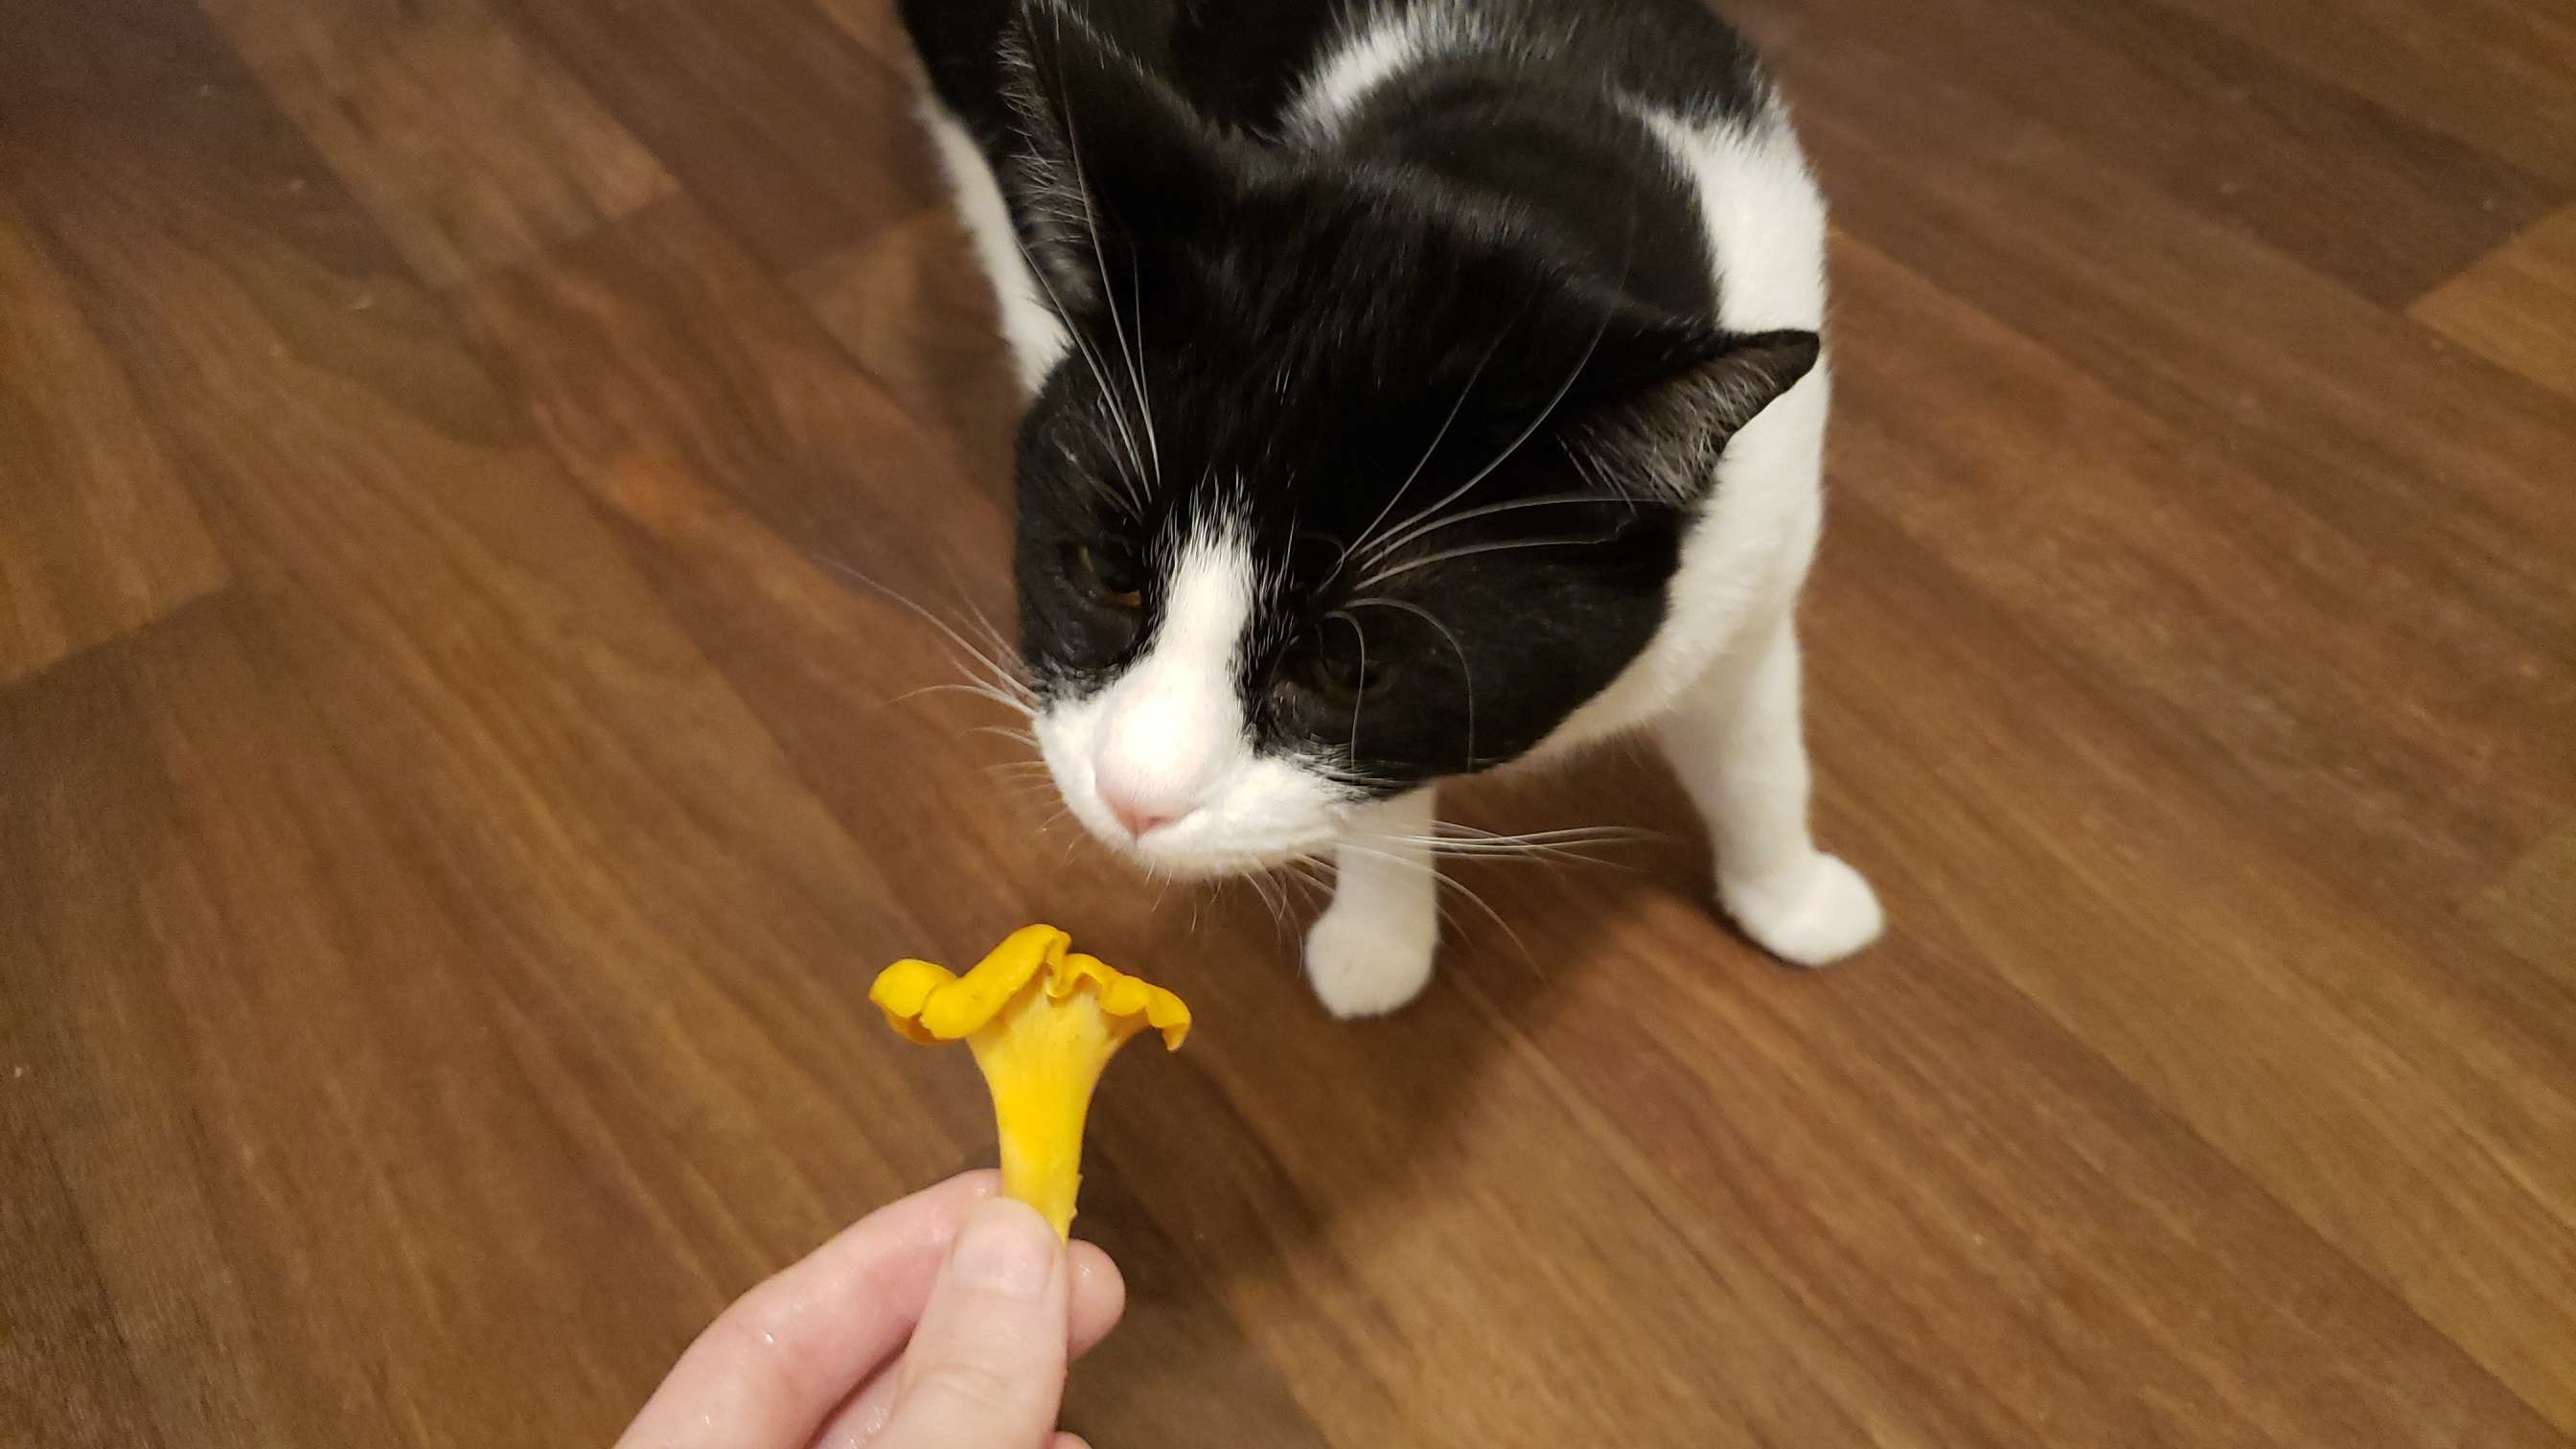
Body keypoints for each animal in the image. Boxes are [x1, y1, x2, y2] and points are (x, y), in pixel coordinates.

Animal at [896, 0, 1885, 1016]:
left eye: (1348, 665)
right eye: (1105, 572)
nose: (1135, 798)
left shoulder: (1761, 544)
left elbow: (1758, 749)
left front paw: (1792, 899)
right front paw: (1380, 942)